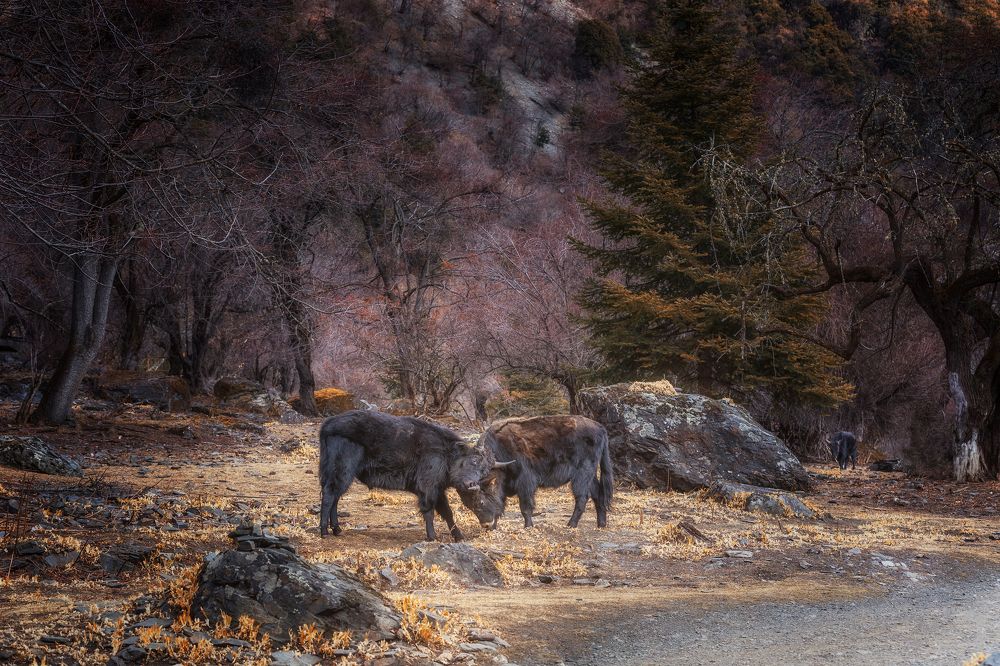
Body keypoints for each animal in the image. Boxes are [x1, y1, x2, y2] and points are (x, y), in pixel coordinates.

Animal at [318, 410, 503, 541]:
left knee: (335, 497)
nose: (473, 485)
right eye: (474, 460)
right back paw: (325, 531)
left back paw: (337, 529)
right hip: (342, 472)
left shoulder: (438, 489)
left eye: (484, 471)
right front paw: (432, 537)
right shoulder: (428, 488)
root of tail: (327, 425)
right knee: (329, 495)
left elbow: (447, 512)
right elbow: (429, 510)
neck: (447, 454)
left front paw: (459, 536)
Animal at [476, 415, 613, 529]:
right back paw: (601, 525)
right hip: (590, 475)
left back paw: (571, 525)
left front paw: (528, 526)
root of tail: (600, 428)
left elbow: (525, 507)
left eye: (482, 500)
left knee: (582, 497)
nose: (486, 525)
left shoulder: (525, 484)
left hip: (582, 475)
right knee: (598, 494)